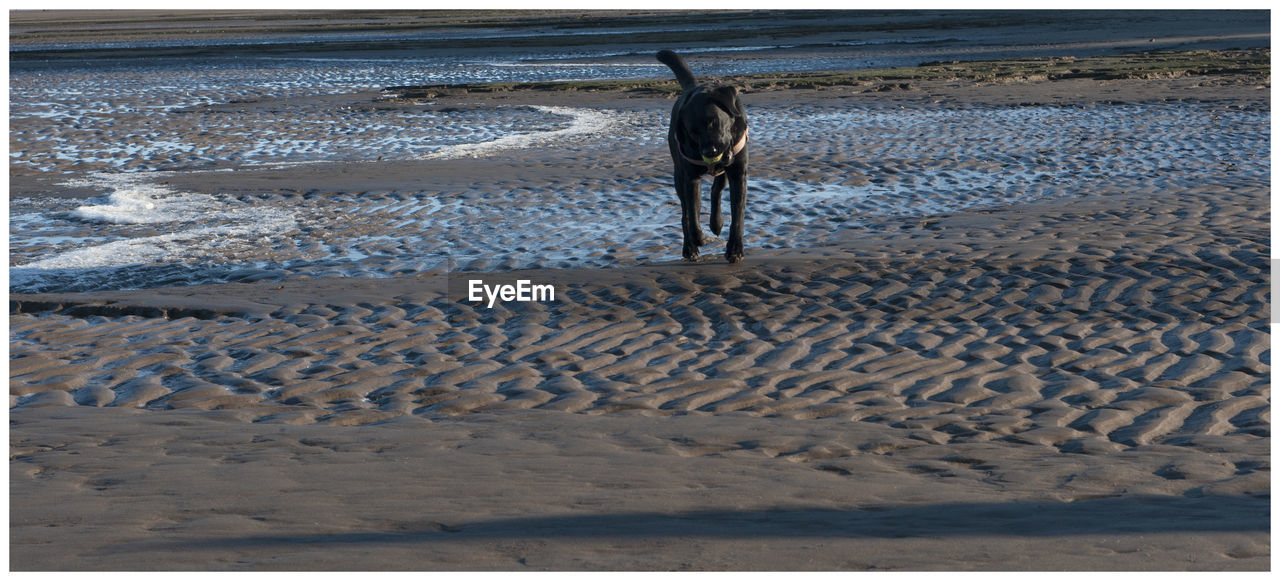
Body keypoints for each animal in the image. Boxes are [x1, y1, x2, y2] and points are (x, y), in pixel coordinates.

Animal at [655, 49, 747, 263]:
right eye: (693, 132)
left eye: (712, 121)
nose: (709, 153)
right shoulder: (691, 178)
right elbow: (692, 214)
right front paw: (698, 239)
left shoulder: (738, 173)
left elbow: (737, 214)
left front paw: (735, 249)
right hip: (679, 175)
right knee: (685, 212)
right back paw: (690, 247)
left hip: (723, 171)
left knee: (716, 190)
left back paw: (716, 223)